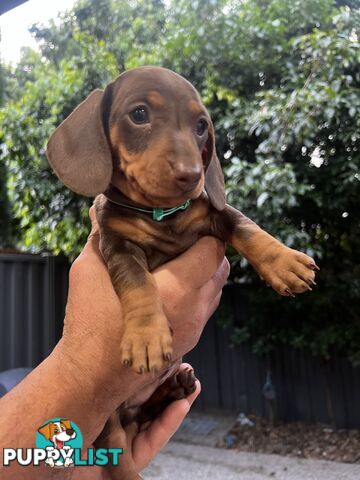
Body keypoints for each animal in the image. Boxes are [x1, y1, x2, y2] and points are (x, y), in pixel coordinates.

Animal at [47, 65, 318, 478]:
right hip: (109, 419)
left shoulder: (212, 211)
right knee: (117, 448)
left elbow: (245, 225)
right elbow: (139, 284)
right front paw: (146, 335)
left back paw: (176, 387)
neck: (161, 215)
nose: (193, 175)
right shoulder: (118, 246)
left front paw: (284, 262)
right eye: (139, 114)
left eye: (202, 125)